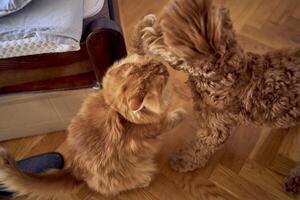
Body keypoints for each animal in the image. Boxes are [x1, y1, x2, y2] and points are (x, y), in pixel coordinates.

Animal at [134, 0, 300, 173]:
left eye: (165, 33)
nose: (143, 23)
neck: (222, 75)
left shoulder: (215, 127)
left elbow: (201, 147)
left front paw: (183, 160)